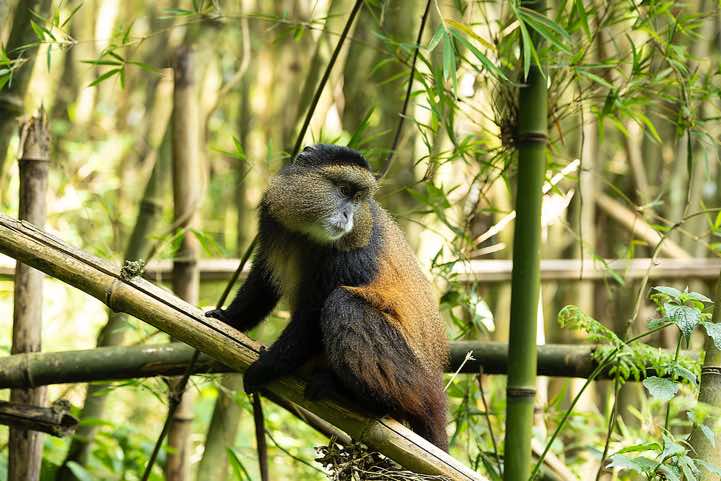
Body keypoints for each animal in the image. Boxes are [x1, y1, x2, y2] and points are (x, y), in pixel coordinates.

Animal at [205, 144, 449, 450]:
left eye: (358, 199)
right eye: (344, 190)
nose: (348, 216)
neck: (308, 234)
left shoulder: (352, 255)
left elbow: (312, 316)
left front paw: (265, 368)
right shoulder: (273, 221)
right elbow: (264, 279)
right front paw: (228, 318)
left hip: (410, 379)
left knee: (343, 304)